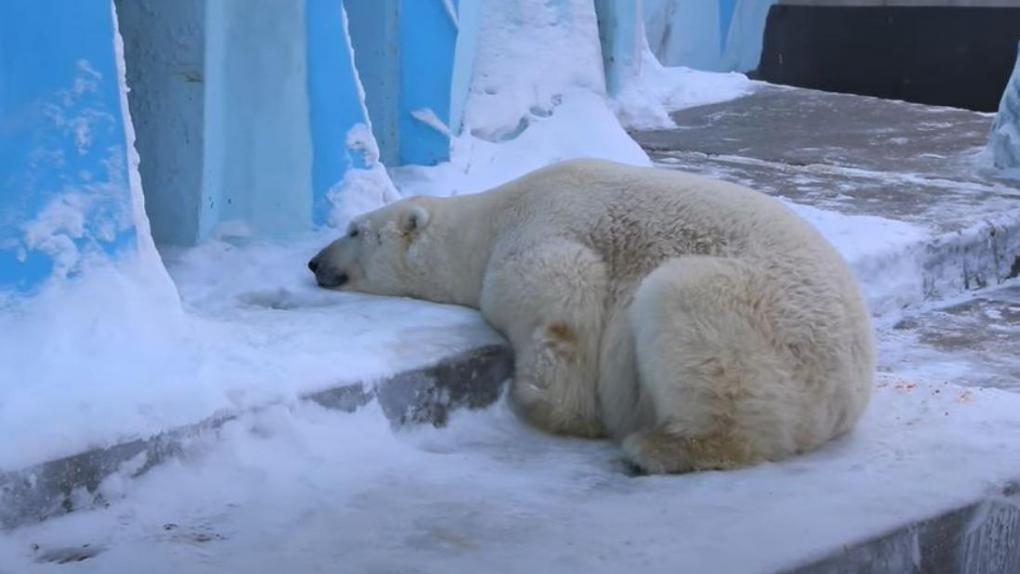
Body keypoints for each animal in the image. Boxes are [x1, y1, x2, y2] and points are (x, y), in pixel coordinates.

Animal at [306, 159, 873, 473]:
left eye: (354, 230)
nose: (314, 262)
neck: (488, 223)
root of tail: (851, 386)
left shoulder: (540, 235)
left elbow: (565, 294)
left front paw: (550, 406)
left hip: (764, 324)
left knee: (682, 306)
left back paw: (656, 447)